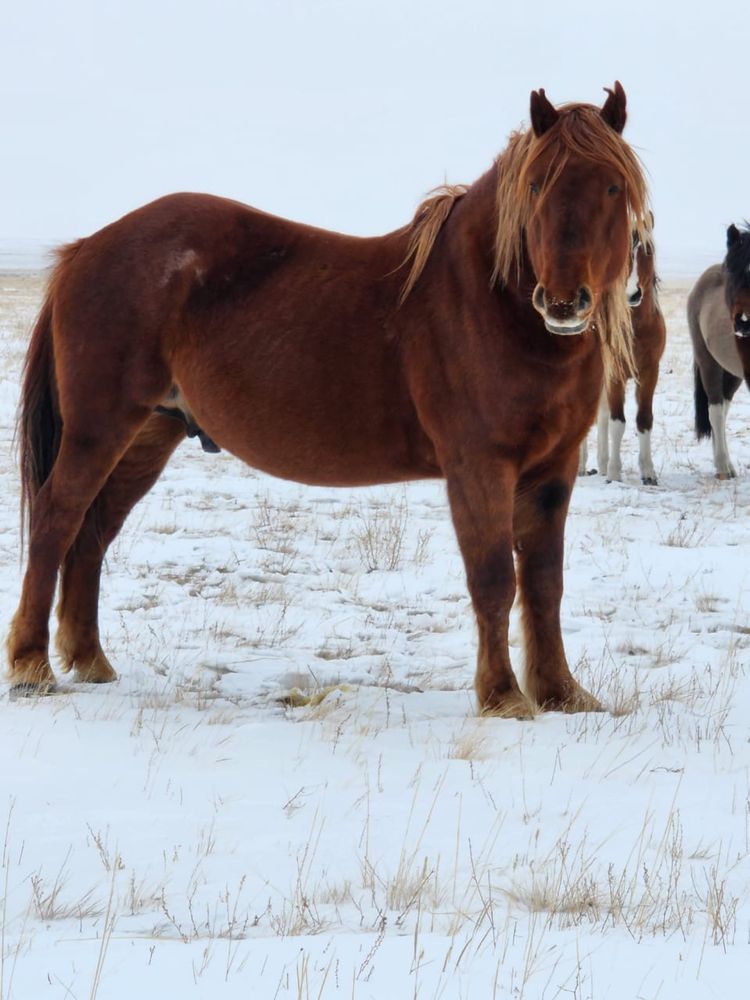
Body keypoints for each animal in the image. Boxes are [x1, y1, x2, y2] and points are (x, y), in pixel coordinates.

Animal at [7, 82, 652, 716]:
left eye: (612, 186)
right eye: (537, 184)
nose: (564, 301)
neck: (490, 306)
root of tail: (89, 247)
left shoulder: (553, 470)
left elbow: (545, 584)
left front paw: (562, 693)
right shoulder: (480, 466)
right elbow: (494, 577)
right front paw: (503, 698)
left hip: (148, 433)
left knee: (92, 533)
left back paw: (90, 660)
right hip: (99, 428)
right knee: (57, 520)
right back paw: (31, 666)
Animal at [580, 231, 668, 488]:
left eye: (648, 250)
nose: (633, 294)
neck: (634, 328)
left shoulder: (649, 373)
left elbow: (644, 420)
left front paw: (648, 473)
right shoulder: (616, 375)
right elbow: (617, 423)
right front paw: (614, 474)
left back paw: (600, 464)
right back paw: (582, 467)